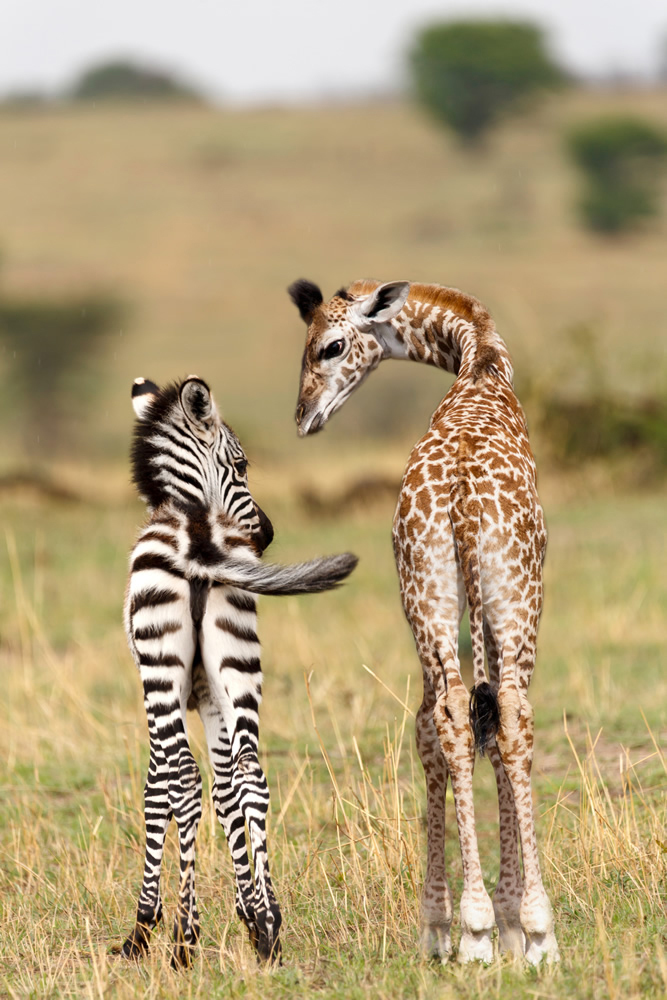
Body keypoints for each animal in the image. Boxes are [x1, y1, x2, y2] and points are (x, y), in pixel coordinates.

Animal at [121, 375, 357, 969]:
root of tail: (198, 533)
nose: (267, 536)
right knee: (251, 773)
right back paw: (270, 930)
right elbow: (227, 792)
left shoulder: (161, 693)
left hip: (161, 671)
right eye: (244, 464)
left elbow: (156, 790)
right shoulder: (208, 693)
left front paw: (144, 927)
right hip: (240, 655)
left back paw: (183, 940)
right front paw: (250, 912)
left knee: (183, 778)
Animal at [287, 278, 560, 966]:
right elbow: (499, 730)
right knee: (510, 713)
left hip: (426, 591)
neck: (478, 359)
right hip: (517, 593)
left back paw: (465, 927)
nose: (303, 416)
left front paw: (456, 925)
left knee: (446, 717)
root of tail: (461, 499)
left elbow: (453, 728)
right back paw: (530, 931)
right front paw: (509, 924)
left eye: (329, 346)